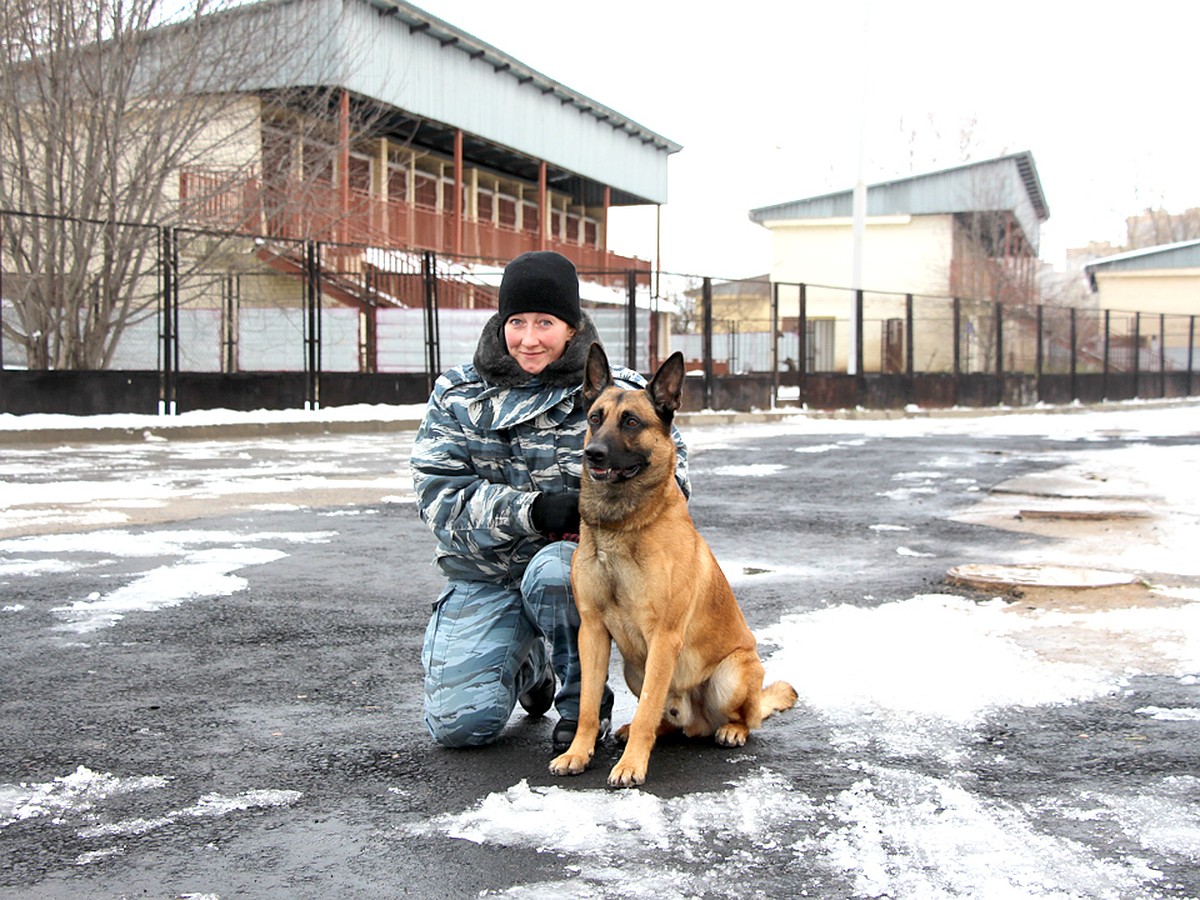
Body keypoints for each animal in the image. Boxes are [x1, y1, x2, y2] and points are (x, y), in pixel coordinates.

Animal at [549, 345, 796, 787]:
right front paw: (578, 752)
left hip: (729, 675)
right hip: (635, 667)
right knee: (666, 720)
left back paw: (731, 730)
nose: (593, 454)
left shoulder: (663, 638)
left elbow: (648, 706)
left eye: (631, 422)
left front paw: (631, 765)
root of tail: (697, 721)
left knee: (745, 718)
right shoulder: (591, 632)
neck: (622, 526)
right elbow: (589, 706)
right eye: (594, 418)